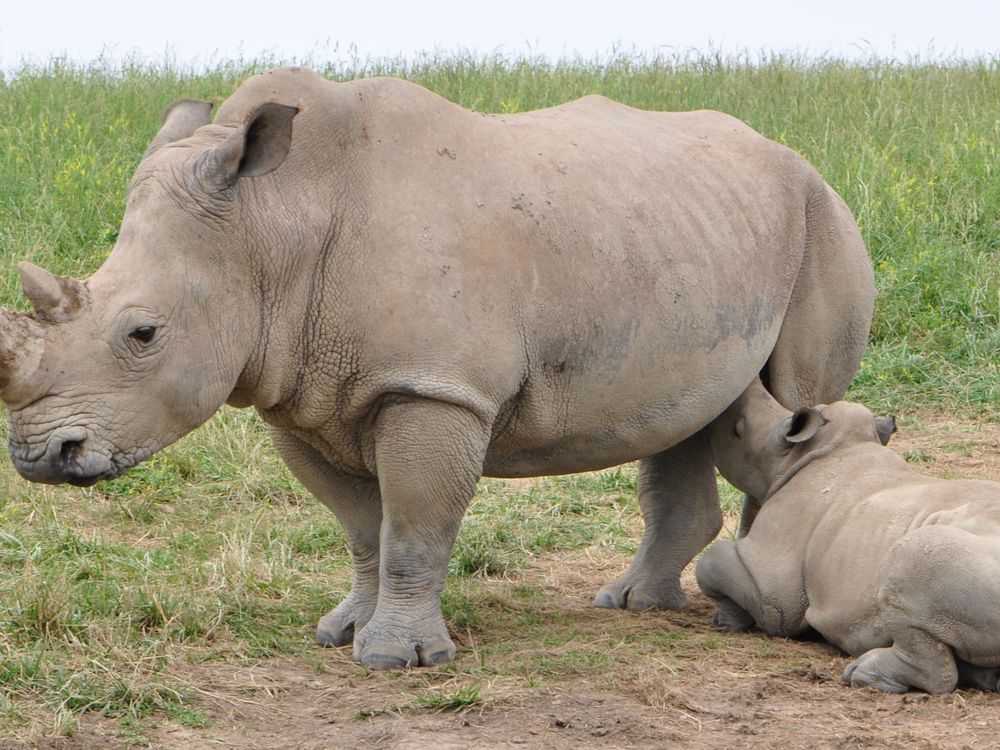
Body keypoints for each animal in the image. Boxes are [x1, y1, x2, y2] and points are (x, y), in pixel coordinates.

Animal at [0, 69, 876, 668]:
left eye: (144, 333)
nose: (41, 456)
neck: (270, 227)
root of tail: (794, 157)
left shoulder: (433, 388)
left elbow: (416, 524)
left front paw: (398, 659)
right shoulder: (303, 391)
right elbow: (363, 527)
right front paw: (343, 632)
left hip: (824, 217)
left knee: (794, 404)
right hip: (687, 230)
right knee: (691, 412)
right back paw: (630, 605)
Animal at [700, 382, 1000, 700]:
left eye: (736, 431)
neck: (793, 457)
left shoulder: (774, 590)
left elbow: (715, 564)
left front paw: (726, 621)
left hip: (954, 562)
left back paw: (862, 674)